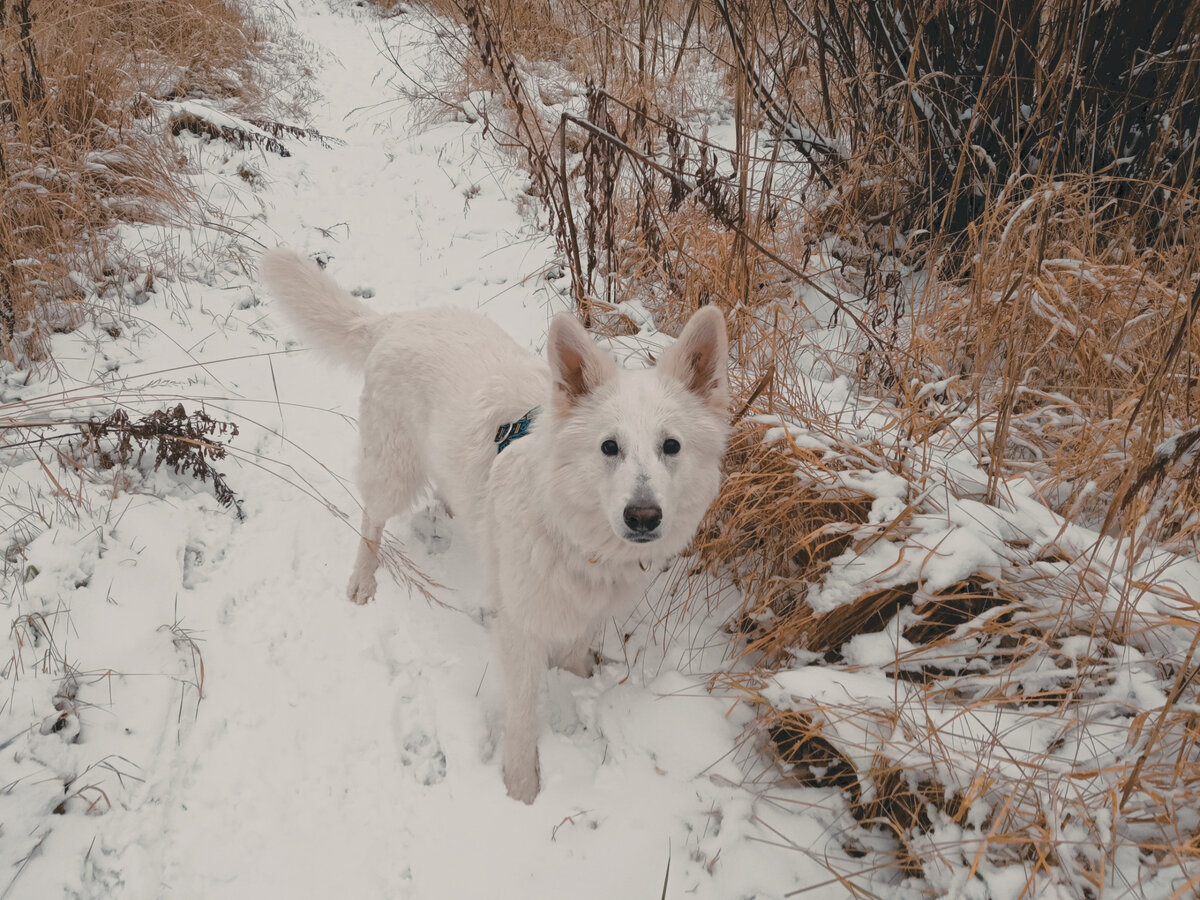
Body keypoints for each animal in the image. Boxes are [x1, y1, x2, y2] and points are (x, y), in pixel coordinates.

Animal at [262, 248, 729, 801]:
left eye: (671, 446)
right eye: (609, 447)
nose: (643, 517)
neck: (572, 532)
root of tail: (397, 321)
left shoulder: (585, 610)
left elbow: (575, 653)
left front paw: (579, 680)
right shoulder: (520, 628)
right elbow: (523, 716)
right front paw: (521, 787)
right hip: (394, 469)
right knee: (371, 518)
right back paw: (362, 579)